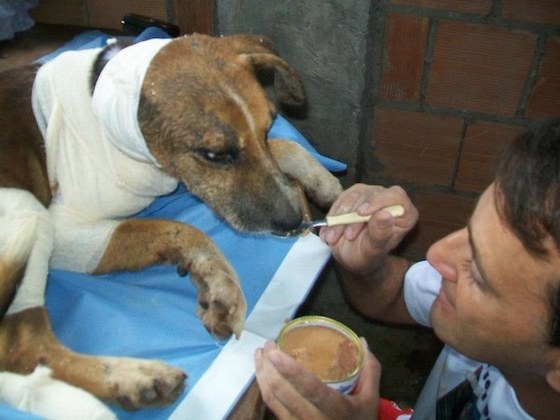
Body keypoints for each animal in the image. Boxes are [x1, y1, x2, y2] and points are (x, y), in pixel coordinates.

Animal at [0, 33, 344, 414]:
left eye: (268, 126)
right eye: (214, 154)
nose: (295, 221)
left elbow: (284, 148)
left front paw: (321, 179)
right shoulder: (69, 231)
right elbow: (180, 228)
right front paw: (219, 282)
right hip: (27, 211)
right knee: (24, 348)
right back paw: (132, 379)